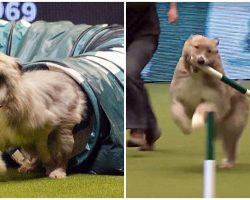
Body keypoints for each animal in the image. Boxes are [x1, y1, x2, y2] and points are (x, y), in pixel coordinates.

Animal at [169, 35, 249, 168]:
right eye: (196, 47)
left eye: (209, 51)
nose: (201, 60)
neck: (197, 76)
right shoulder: (178, 98)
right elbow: (178, 115)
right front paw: (186, 127)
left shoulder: (215, 101)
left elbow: (202, 108)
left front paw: (196, 122)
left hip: (231, 126)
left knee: (231, 145)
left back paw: (228, 163)